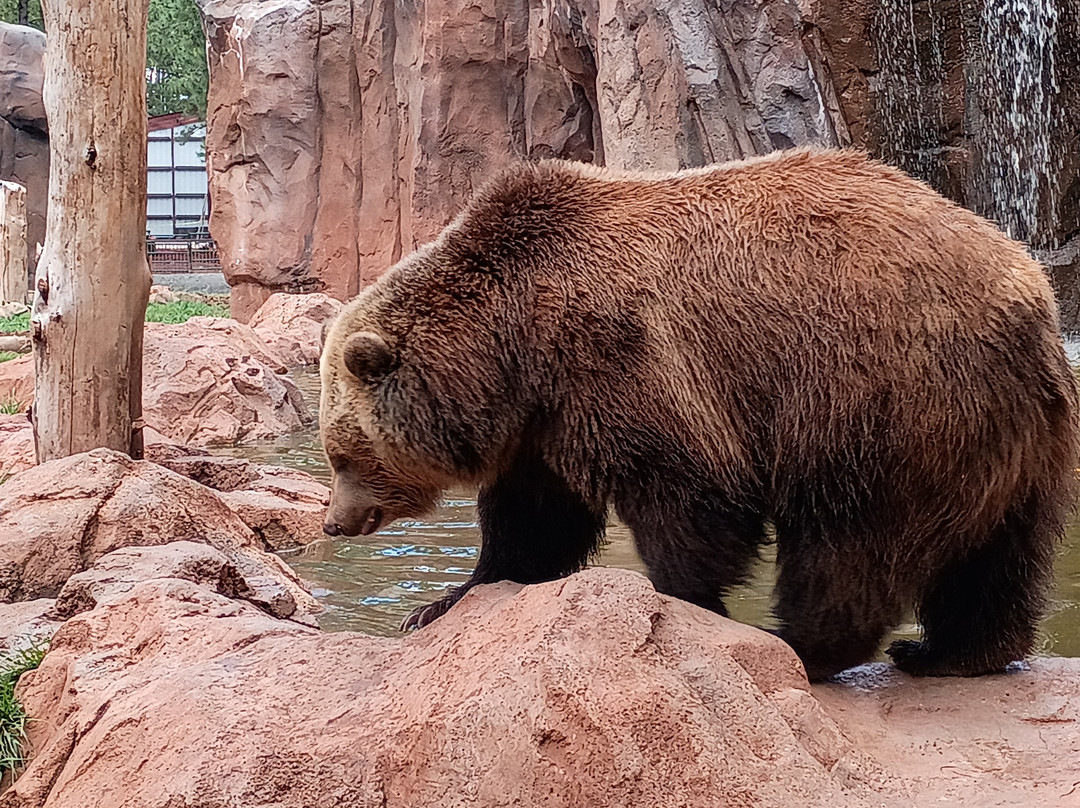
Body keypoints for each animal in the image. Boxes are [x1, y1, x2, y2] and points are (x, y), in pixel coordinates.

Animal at [319, 147, 1079, 681]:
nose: (335, 520)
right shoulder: (545, 419)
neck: (510, 343)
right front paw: (438, 603)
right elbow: (534, 522)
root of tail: (1030, 293)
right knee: (1002, 553)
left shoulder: (622, 357)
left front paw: (685, 608)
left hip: (881, 396)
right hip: (1012, 435)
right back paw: (953, 652)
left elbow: (686, 494)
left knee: (852, 539)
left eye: (341, 454)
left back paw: (805, 643)